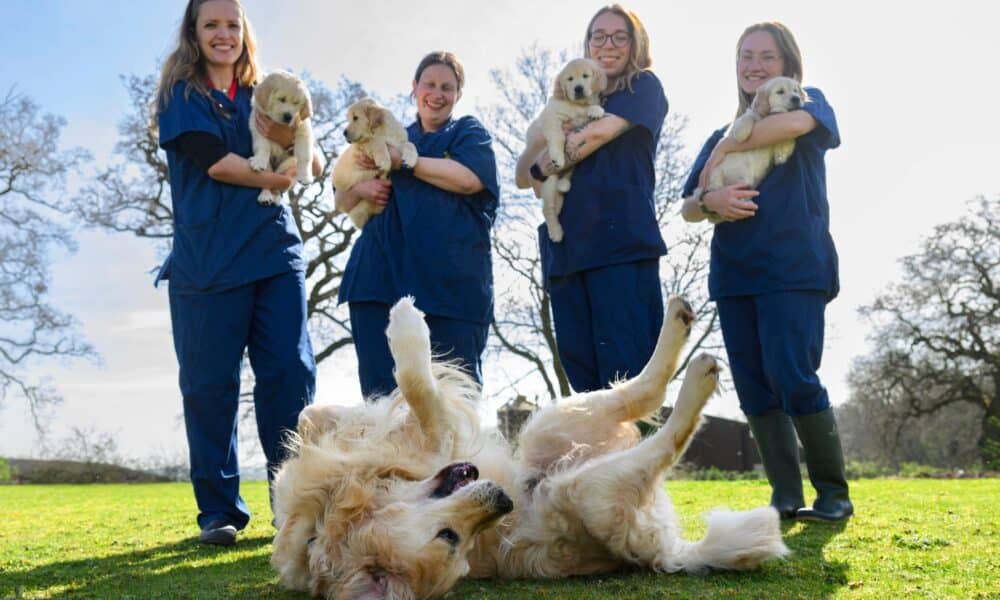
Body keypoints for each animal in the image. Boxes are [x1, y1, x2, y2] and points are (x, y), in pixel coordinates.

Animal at [248, 70, 314, 205]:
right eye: (281, 99)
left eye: (296, 103)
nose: (288, 116)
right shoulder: (258, 127)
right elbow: (263, 147)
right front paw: (259, 161)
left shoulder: (304, 131)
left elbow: (305, 156)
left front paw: (305, 176)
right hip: (269, 167)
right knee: (268, 178)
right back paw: (265, 196)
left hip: (287, 164)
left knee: (278, 181)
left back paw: (276, 196)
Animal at [274, 296, 788, 600]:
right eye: (451, 540)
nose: (504, 500)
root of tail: (668, 552)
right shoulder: (438, 435)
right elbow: (417, 384)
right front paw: (405, 329)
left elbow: (323, 413)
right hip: (587, 488)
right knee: (665, 433)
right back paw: (700, 376)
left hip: (548, 425)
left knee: (641, 393)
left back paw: (679, 325)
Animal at [332, 98, 418, 230]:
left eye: (355, 118)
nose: (344, 133)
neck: (381, 130)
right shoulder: (361, 147)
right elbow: (375, 141)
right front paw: (384, 161)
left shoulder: (398, 142)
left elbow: (410, 144)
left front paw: (410, 160)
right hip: (360, 209)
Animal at [524, 58, 608, 241]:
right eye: (570, 79)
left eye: (585, 76)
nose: (578, 88)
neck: (576, 105)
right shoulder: (550, 118)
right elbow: (559, 136)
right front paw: (557, 157)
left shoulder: (581, 121)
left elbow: (591, 109)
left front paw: (596, 110)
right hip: (549, 182)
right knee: (547, 210)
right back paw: (556, 232)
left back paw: (565, 183)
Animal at [700, 76, 808, 223]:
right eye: (780, 92)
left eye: (795, 91)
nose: (797, 98)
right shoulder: (751, 116)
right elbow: (747, 117)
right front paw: (741, 133)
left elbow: (788, 139)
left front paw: (781, 155)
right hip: (716, 173)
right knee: (714, 190)